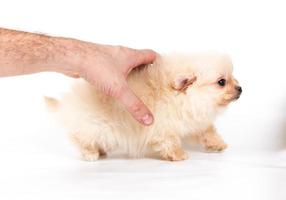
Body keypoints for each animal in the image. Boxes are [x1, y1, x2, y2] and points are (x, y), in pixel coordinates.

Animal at [44, 52, 241, 161]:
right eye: (222, 82)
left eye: (234, 78)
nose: (241, 89)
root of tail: (66, 105)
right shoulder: (163, 127)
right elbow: (170, 141)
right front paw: (178, 154)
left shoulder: (195, 118)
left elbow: (207, 131)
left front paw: (217, 144)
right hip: (94, 126)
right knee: (80, 138)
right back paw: (91, 153)